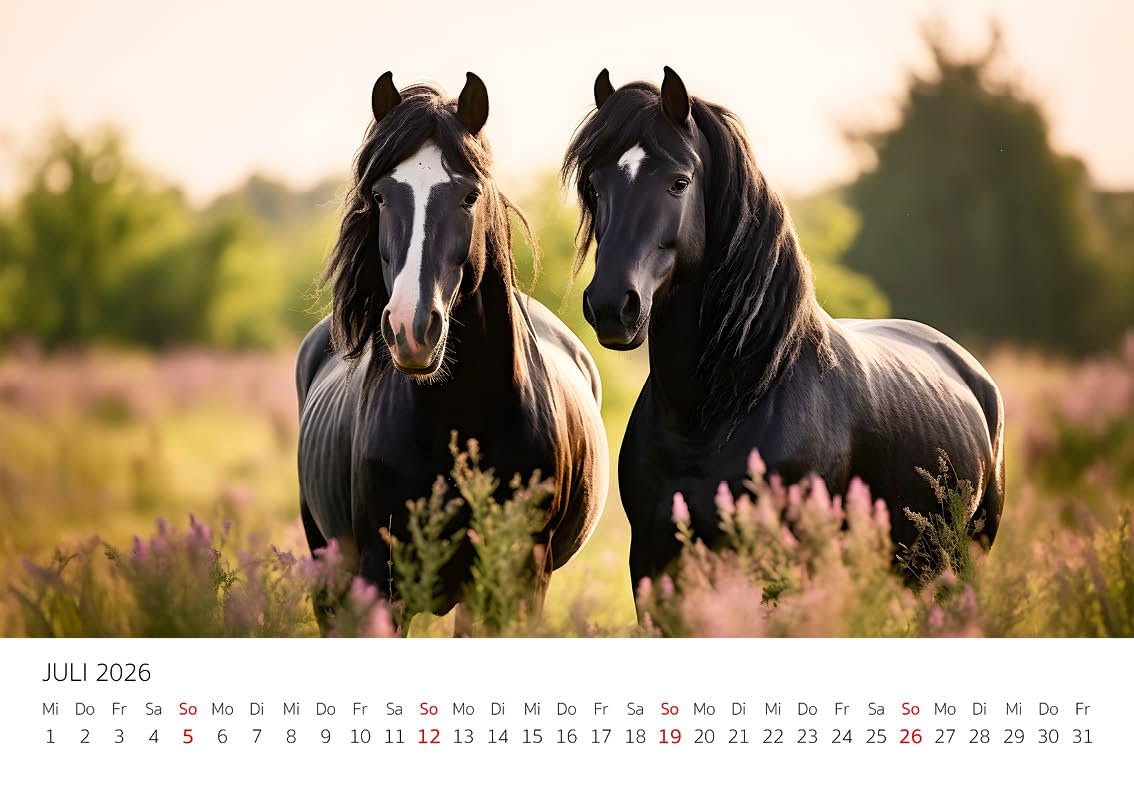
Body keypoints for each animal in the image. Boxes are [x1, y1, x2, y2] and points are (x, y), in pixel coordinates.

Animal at [297, 72, 608, 631]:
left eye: (469, 195)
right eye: (380, 195)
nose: (411, 327)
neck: (464, 416)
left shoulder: (519, 583)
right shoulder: (382, 581)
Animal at [562, 67, 1004, 601]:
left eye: (679, 182)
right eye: (594, 185)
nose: (612, 306)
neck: (722, 406)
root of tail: (969, 370)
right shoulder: (652, 558)